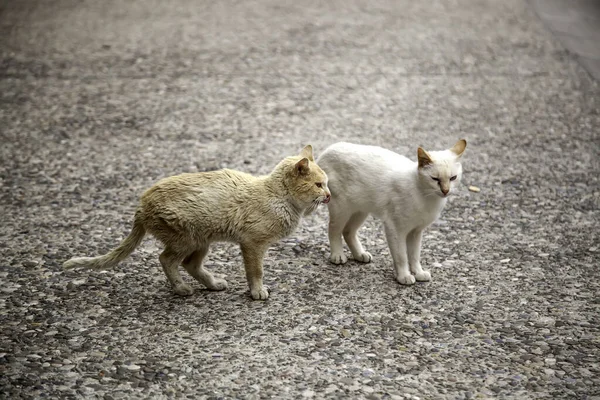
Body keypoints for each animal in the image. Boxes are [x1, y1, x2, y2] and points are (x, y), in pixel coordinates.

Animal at [63, 145, 330, 300]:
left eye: (327, 184)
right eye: (319, 185)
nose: (328, 195)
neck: (278, 198)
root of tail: (142, 204)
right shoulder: (252, 243)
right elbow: (256, 271)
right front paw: (257, 291)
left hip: (202, 240)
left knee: (189, 264)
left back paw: (212, 284)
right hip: (187, 238)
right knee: (166, 259)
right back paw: (181, 289)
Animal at [316, 140, 466, 284]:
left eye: (453, 178)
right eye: (435, 179)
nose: (445, 191)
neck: (426, 197)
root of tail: (329, 149)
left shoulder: (415, 232)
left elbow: (414, 256)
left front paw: (418, 273)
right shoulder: (395, 228)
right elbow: (401, 256)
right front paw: (404, 276)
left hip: (359, 211)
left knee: (348, 232)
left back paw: (360, 255)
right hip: (342, 210)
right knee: (334, 230)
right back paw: (337, 256)